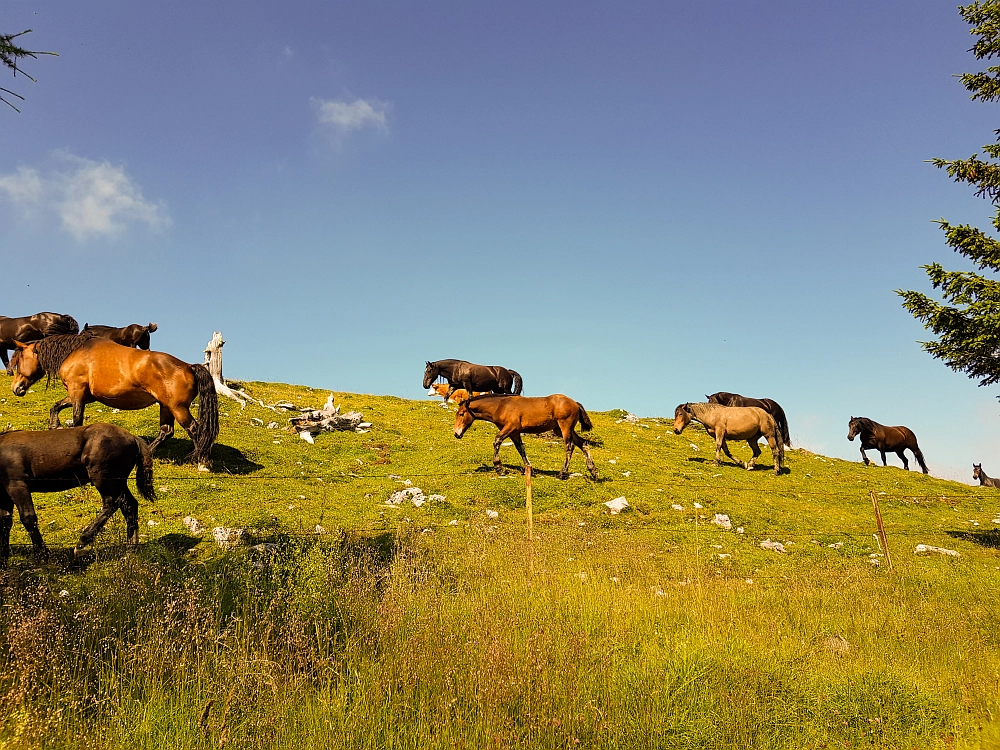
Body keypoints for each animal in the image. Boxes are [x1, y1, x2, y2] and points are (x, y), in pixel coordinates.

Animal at [0, 424, 155, 564]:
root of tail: (133, 437)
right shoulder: (5, 494)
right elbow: (5, 522)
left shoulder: (17, 485)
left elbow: (28, 518)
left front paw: (42, 556)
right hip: (118, 483)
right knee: (130, 505)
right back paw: (130, 550)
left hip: (104, 480)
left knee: (111, 505)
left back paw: (82, 543)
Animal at [10, 336, 218, 470]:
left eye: (19, 360)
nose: (16, 388)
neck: (77, 352)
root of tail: (188, 367)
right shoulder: (81, 395)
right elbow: (56, 406)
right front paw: (55, 426)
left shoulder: (77, 391)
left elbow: (76, 420)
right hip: (166, 406)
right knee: (166, 431)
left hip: (178, 409)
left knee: (195, 430)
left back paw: (203, 462)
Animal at [456, 394, 600, 482]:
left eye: (462, 414)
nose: (456, 433)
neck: (501, 406)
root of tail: (575, 403)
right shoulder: (514, 433)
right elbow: (521, 449)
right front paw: (530, 469)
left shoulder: (511, 428)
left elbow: (497, 441)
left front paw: (499, 468)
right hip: (560, 429)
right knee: (583, 443)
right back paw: (593, 471)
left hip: (565, 427)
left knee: (569, 446)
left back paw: (562, 473)